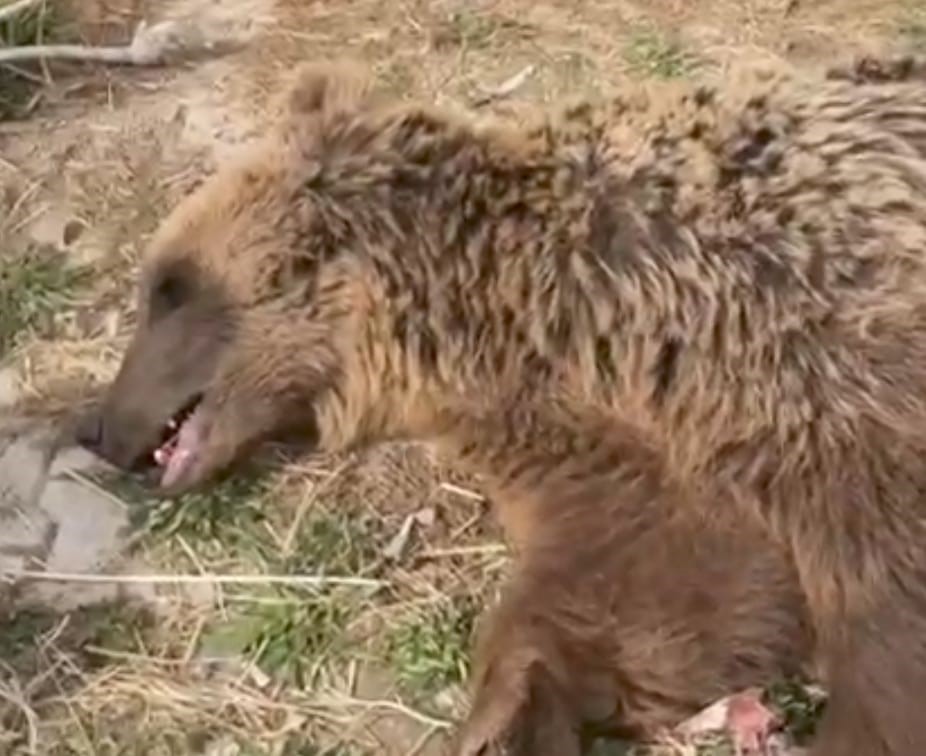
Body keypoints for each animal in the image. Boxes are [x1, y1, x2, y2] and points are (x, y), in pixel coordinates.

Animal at [76, 56, 926, 752]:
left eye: (169, 286)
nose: (96, 428)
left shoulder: (803, 349)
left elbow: (880, 598)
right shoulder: (601, 426)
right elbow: (667, 583)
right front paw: (511, 714)